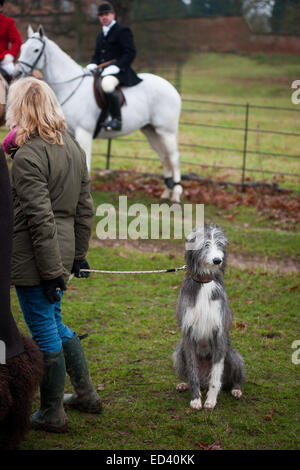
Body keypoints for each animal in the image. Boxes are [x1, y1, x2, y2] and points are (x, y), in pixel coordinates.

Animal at [16, 25, 183, 202]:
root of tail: (172, 88)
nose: (17, 73)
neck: (70, 86)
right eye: (22, 48)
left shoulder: (84, 133)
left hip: (166, 131)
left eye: (35, 50)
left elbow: (86, 163)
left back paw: (176, 194)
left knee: (174, 157)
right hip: (151, 130)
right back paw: (166, 192)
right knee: (164, 156)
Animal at [172, 223, 245, 408]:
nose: (217, 260)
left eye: (219, 243)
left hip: (232, 355)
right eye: (205, 244)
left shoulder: (219, 333)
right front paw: (196, 398)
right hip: (179, 352)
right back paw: (184, 384)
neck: (204, 283)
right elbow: (192, 371)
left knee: (231, 379)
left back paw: (236, 389)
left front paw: (211, 400)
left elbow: (216, 374)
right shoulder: (188, 335)